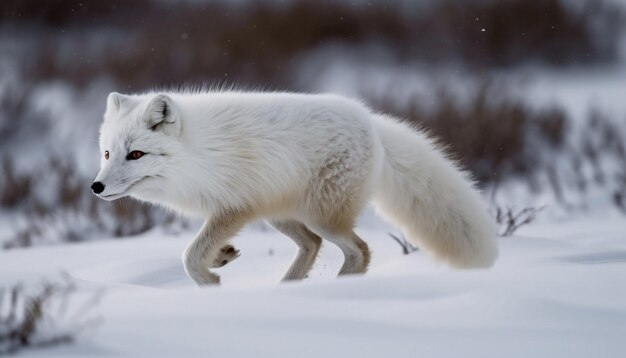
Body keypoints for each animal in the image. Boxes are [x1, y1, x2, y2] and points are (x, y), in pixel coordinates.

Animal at [92, 91, 494, 286]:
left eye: (136, 154)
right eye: (108, 153)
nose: (96, 187)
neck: (197, 153)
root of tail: (371, 121)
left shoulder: (233, 207)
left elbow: (189, 256)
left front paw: (211, 280)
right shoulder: (229, 211)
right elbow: (199, 250)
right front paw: (222, 257)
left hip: (322, 216)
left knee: (359, 250)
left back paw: (333, 291)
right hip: (281, 215)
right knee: (313, 245)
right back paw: (288, 290)